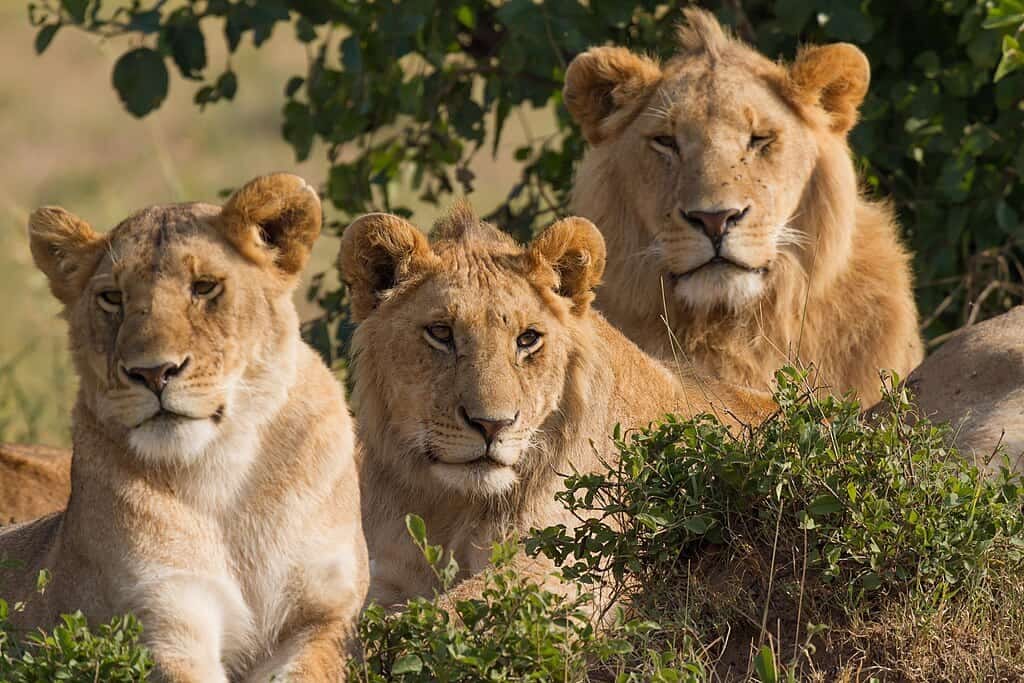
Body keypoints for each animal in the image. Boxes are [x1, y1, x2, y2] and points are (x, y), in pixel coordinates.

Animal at [0, 175, 368, 683]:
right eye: (112, 298)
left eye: (204, 287)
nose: (153, 373)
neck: (225, 475)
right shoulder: (161, 614)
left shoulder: (325, 614)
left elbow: (308, 668)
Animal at [339, 205, 770, 606]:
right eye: (441, 333)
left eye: (528, 339)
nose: (492, 425)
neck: (451, 506)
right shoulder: (386, 570)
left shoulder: (569, 566)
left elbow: (446, 613)